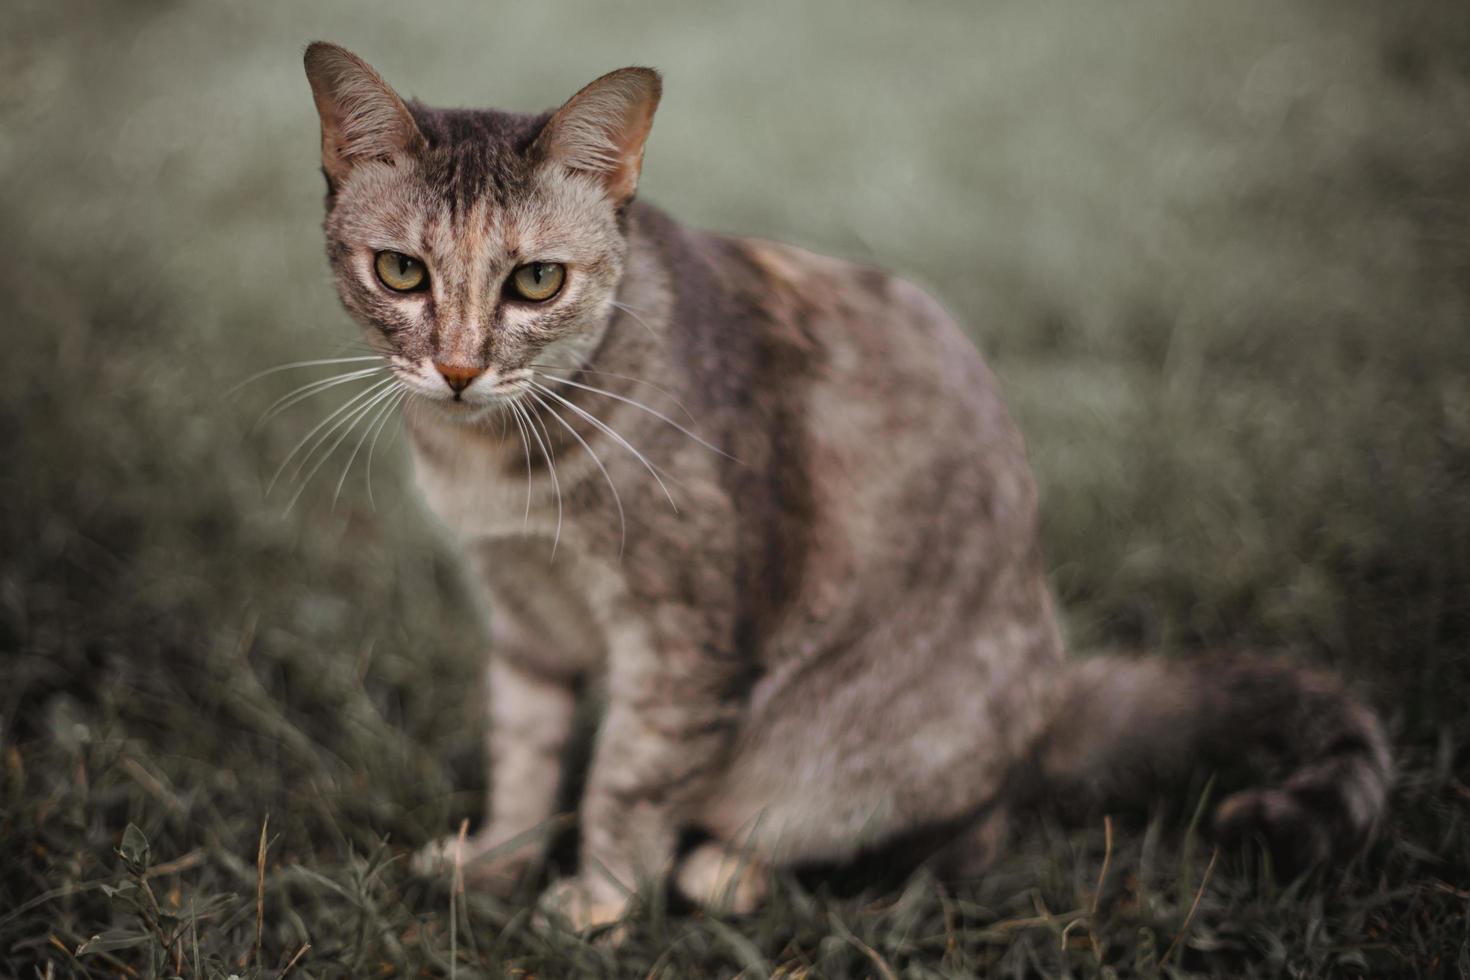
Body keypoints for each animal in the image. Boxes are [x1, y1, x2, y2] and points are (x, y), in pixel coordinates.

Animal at [304, 42, 1393, 934]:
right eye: (401, 271)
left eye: (535, 281)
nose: (457, 369)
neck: (495, 466)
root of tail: (1049, 711)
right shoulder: (523, 616)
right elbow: (526, 759)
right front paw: (497, 861)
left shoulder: (684, 637)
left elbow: (630, 777)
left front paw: (599, 899)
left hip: (870, 763)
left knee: (954, 841)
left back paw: (728, 871)